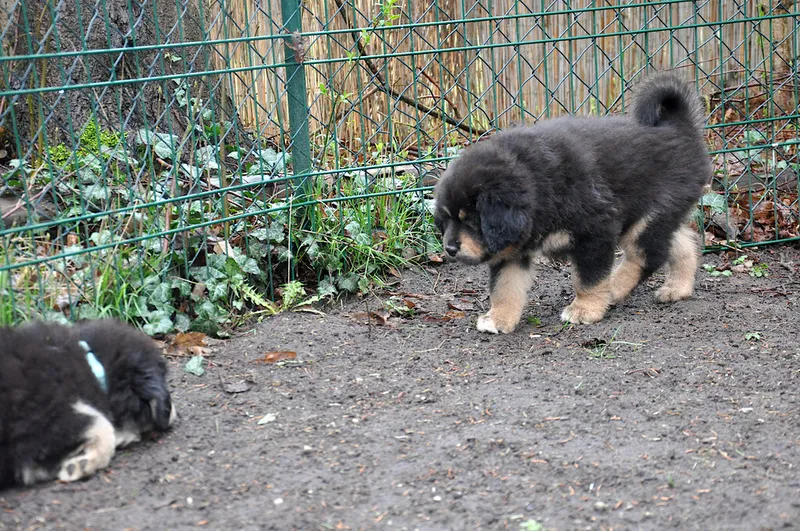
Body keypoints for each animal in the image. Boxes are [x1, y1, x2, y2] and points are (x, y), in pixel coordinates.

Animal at [434, 71, 712, 333]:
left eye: (471, 221)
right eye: (446, 220)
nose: (450, 249)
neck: (535, 182)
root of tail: (680, 128)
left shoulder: (595, 232)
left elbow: (588, 279)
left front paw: (585, 309)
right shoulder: (512, 249)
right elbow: (504, 286)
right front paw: (499, 318)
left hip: (649, 215)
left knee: (646, 255)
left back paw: (614, 288)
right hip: (655, 216)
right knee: (683, 242)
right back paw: (677, 289)